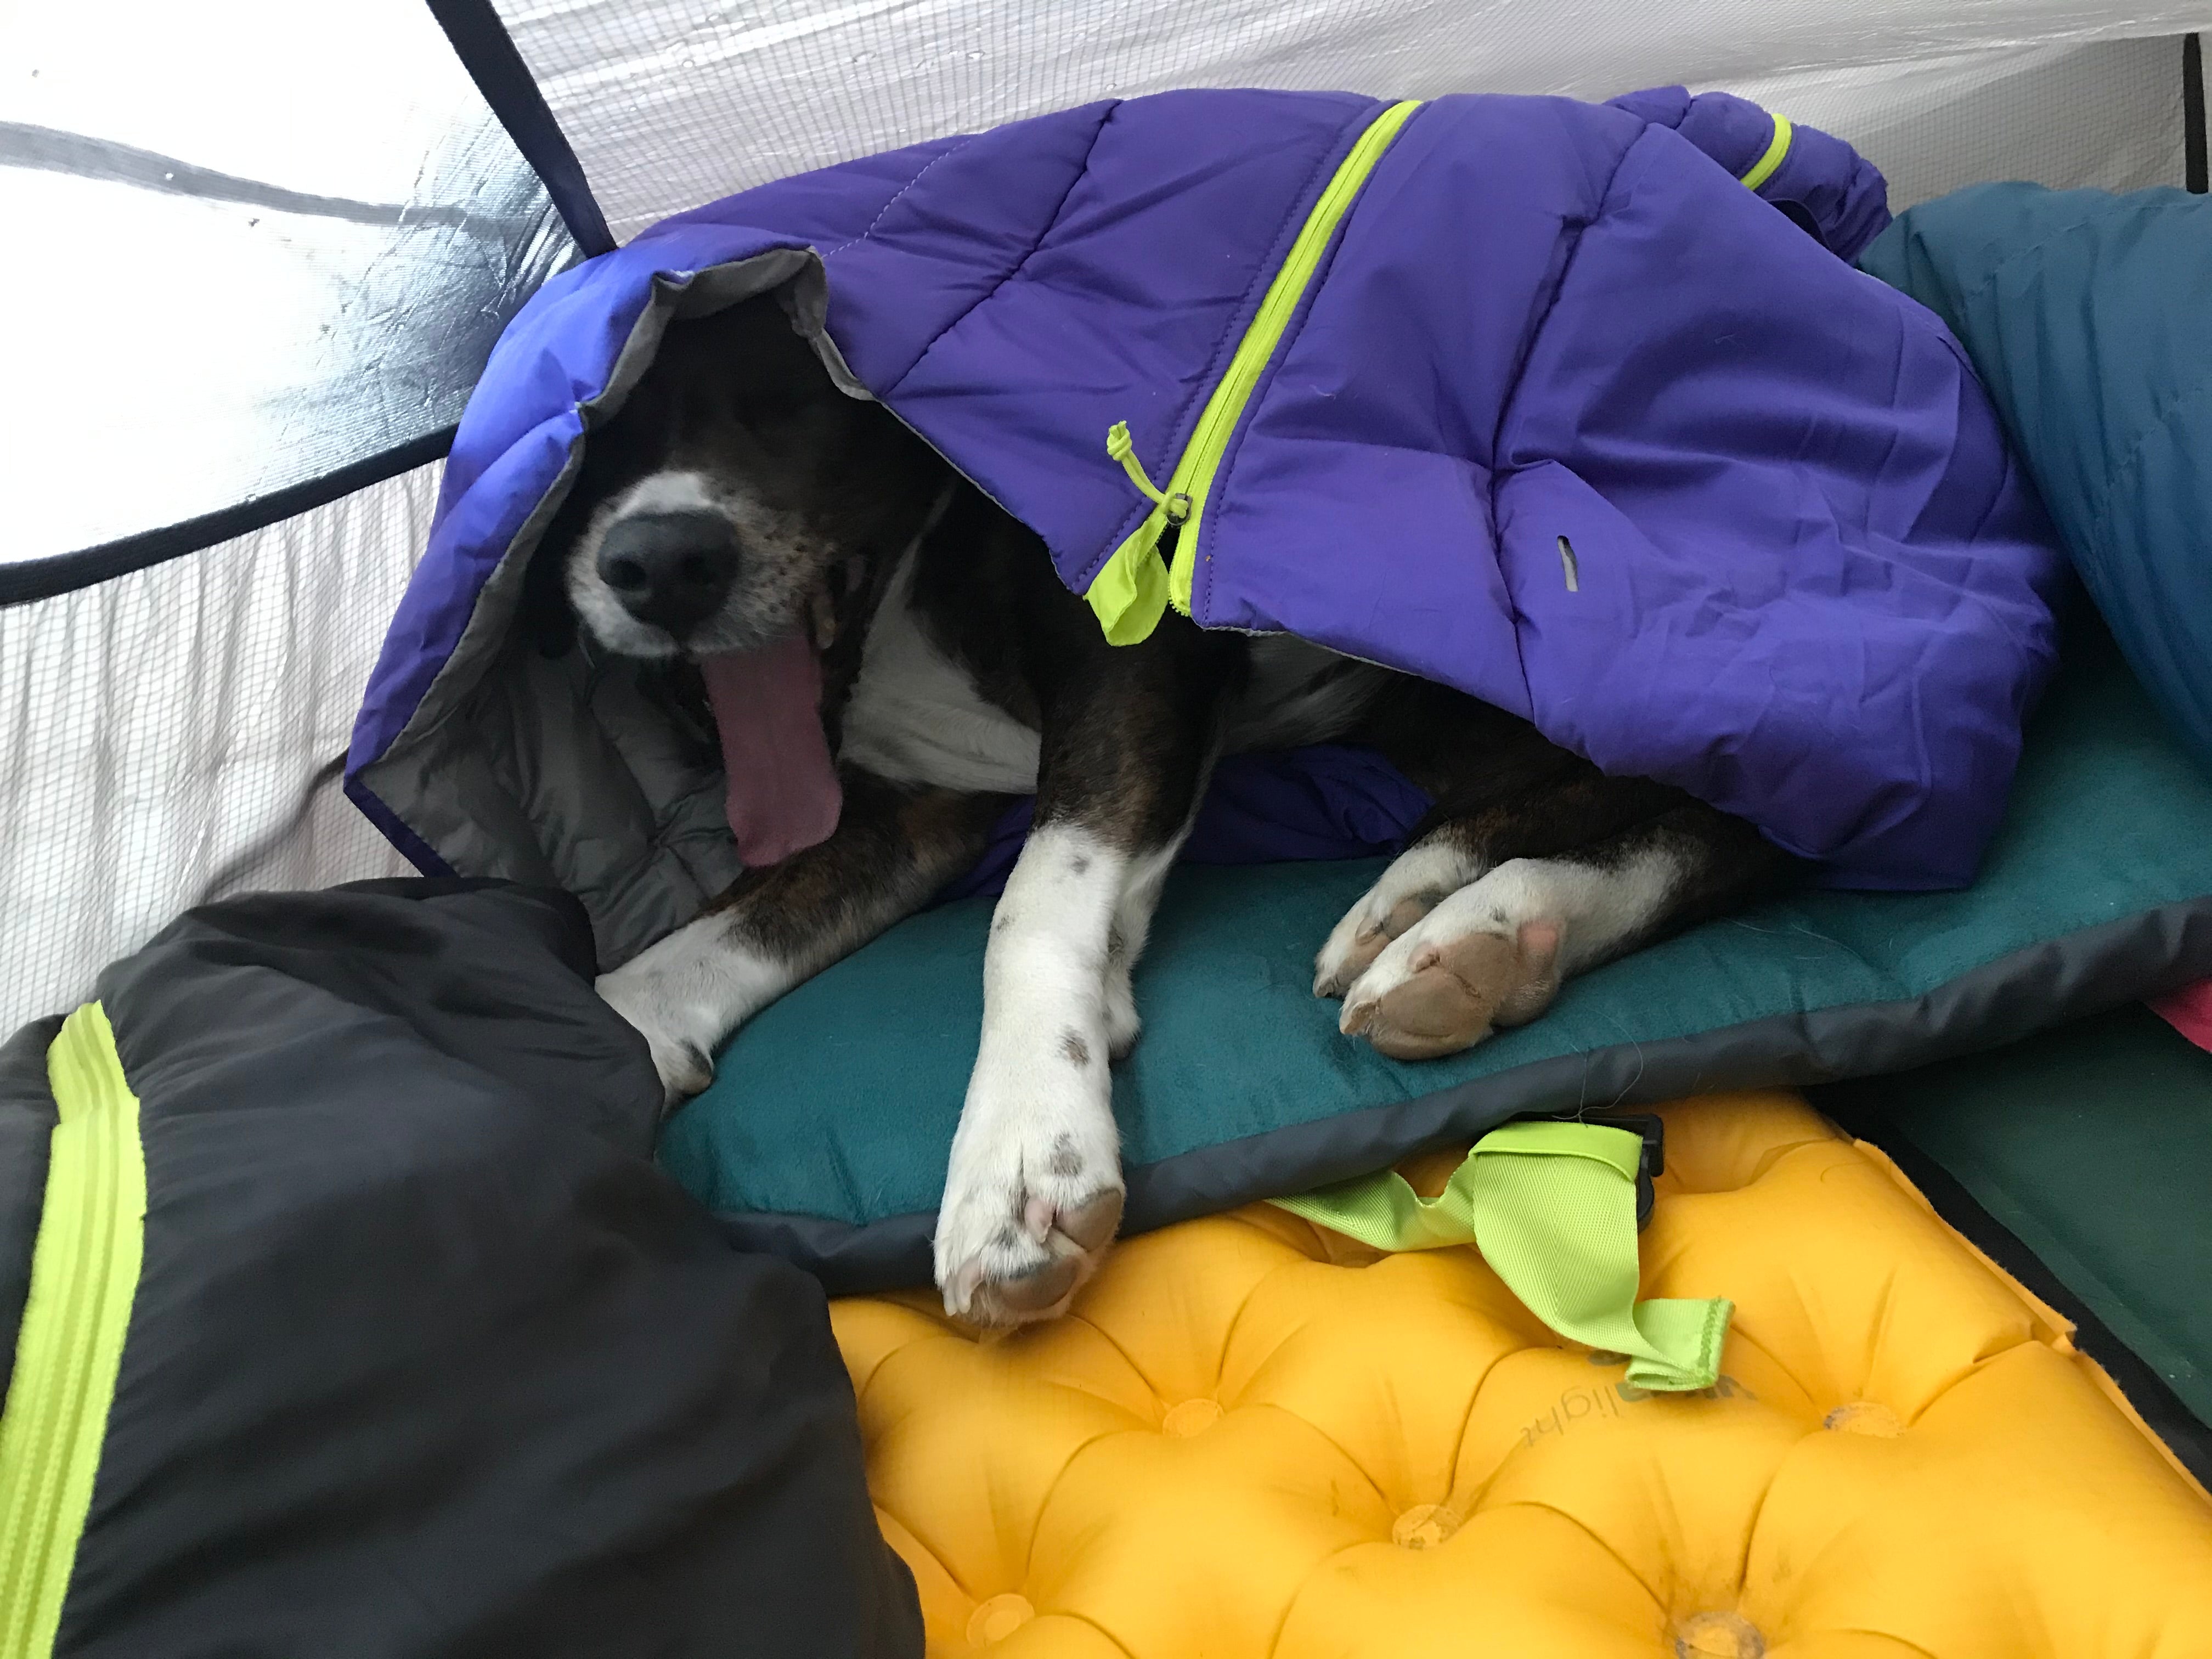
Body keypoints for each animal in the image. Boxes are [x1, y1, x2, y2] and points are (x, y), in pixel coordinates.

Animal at [562, 298, 1805, 1336]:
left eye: (793, 394)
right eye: (594, 448)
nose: (658, 562)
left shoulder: (1134, 659)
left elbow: (1029, 905)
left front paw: (1024, 1146)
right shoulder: (910, 811)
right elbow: (700, 947)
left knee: (1724, 825)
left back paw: (1464, 921)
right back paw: (1469, 926)